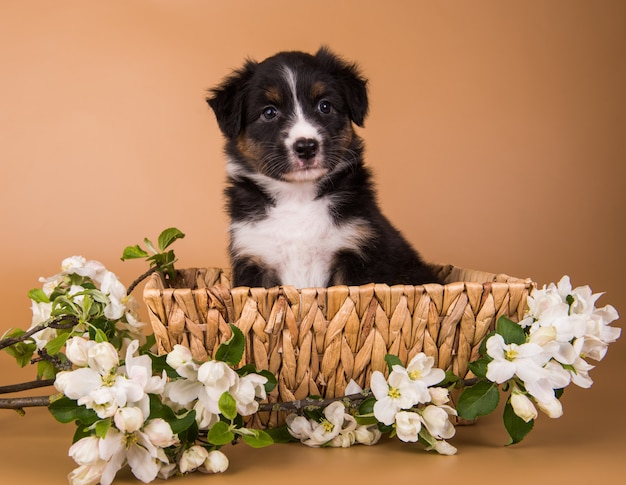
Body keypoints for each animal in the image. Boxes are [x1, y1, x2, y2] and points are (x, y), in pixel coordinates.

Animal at [207, 47, 436, 288]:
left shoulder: (358, 248)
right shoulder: (253, 256)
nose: (306, 147)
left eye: (324, 106)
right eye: (269, 112)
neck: (298, 199)